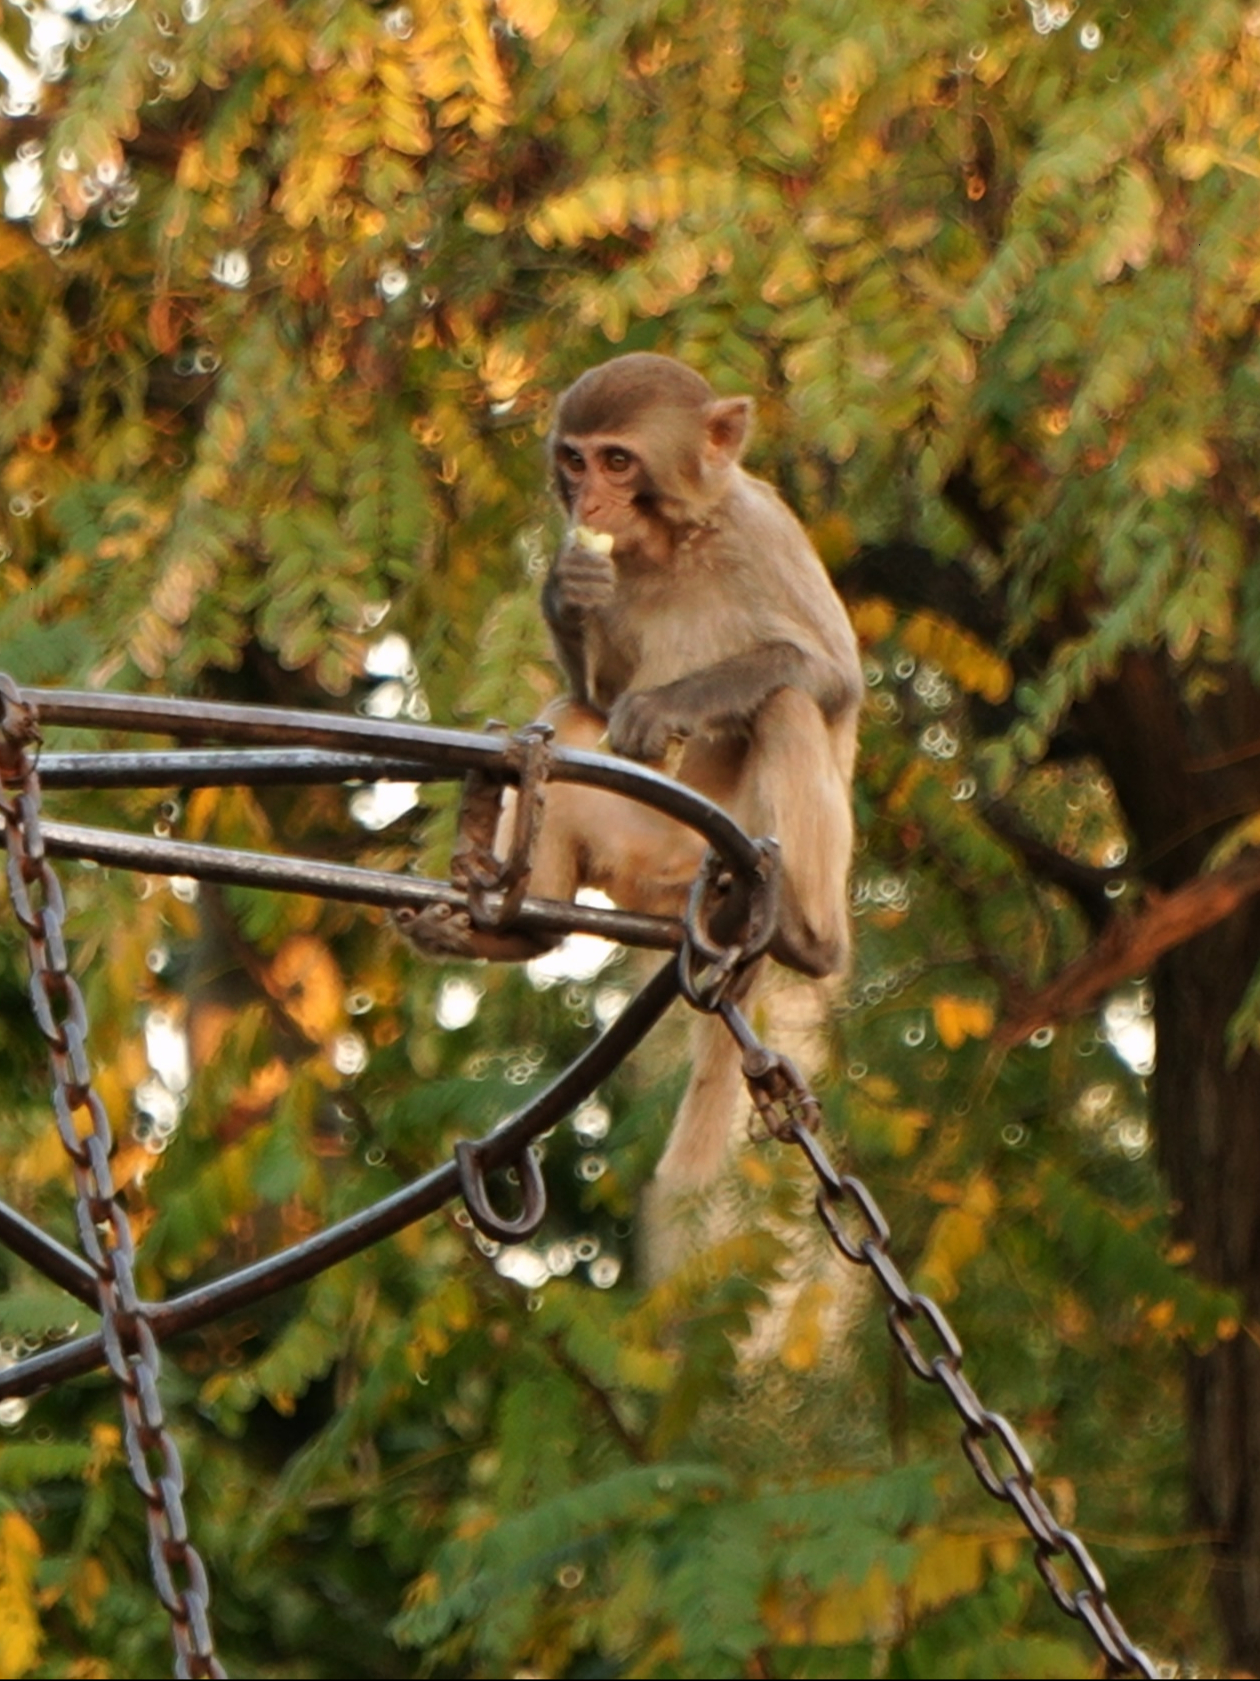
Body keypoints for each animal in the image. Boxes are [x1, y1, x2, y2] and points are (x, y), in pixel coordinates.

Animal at [399, 351, 866, 1196]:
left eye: (618, 461)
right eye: (575, 460)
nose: (589, 498)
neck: (675, 542)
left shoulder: (761, 533)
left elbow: (829, 674)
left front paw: (662, 705)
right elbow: (596, 696)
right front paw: (565, 593)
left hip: (748, 861)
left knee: (784, 703)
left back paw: (809, 938)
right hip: (644, 862)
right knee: (570, 720)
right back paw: (520, 931)